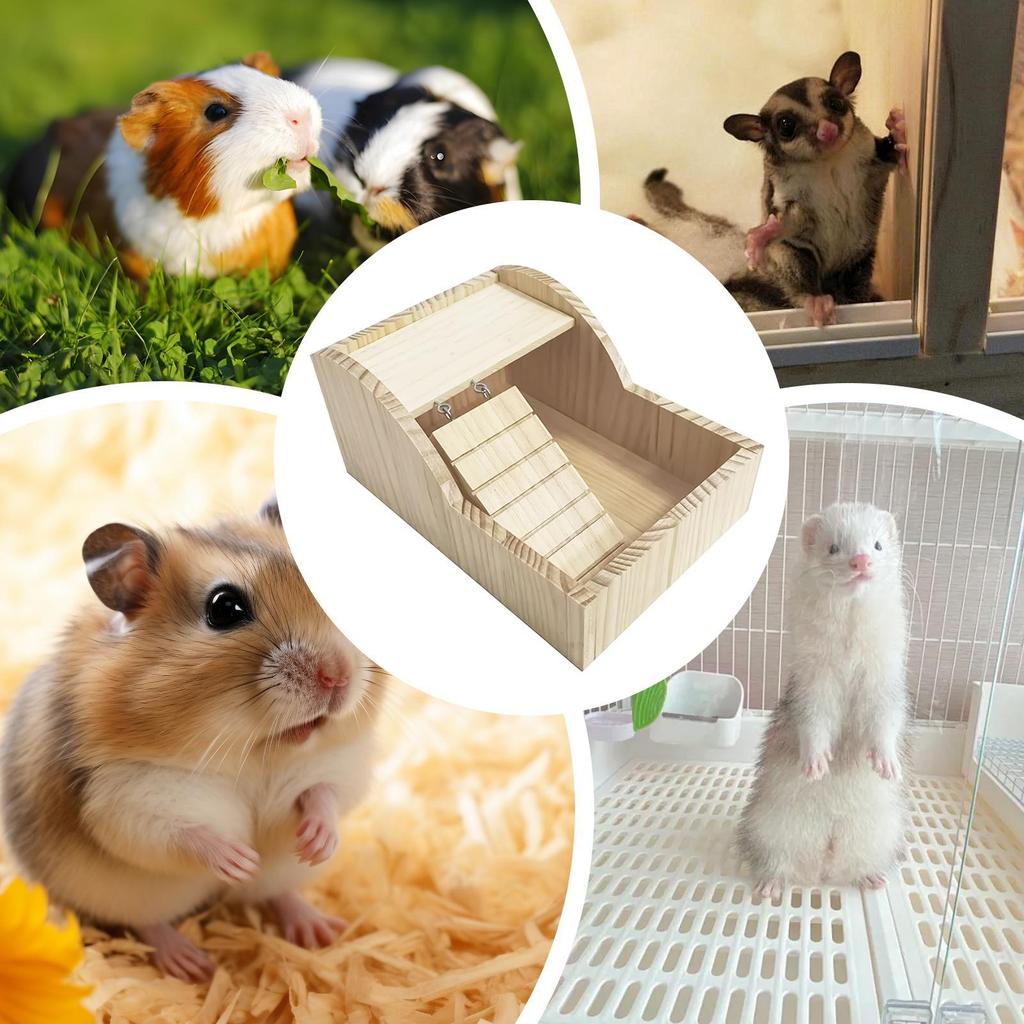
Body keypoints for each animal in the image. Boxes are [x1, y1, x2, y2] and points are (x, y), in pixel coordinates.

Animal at [0, 499, 380, 982]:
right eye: (225, 608)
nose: (338, 676)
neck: (255, 750)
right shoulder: (124, 798)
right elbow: (182, 834)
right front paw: (239, 860)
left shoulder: (340, 763)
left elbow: (325, 794)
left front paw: (317, 843)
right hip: (126, 894)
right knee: (148, 922)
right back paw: (191, 963)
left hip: (282, 874)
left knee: (277, 893)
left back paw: (320, 930)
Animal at [723, 52, 908, 326]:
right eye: (786, 125)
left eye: (835, 103)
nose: (827, 130)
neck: (826, 162)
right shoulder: (789, 193)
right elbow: (788, 222)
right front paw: (761, 236)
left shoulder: (868, 158)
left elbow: (886, 155)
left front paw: (897, 127)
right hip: (793, 257)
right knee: (796, 264)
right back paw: (816, 301)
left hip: (858, 260)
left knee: (856, 278)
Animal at [736, 502, 910, 897]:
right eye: (833, 547)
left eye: (877, 544)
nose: (860, 560)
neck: (849, 657)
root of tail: (824, 861)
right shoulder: (812, 684)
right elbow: (813, 722)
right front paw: (816, 761)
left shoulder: (886, 682)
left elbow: (886, 720)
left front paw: (886, 761)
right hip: (767, 825)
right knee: (777, 859)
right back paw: (770, 883)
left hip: (883, 830)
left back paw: (871, 877)